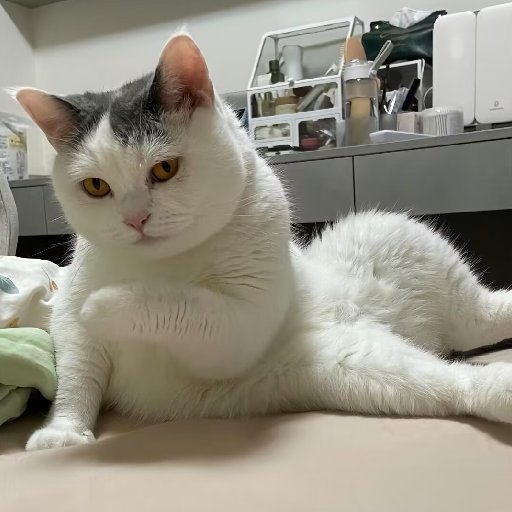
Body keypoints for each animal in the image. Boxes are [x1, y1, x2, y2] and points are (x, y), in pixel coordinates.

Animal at [14, 33, 512, 451]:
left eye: (164, 169)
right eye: (96, 187)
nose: (135, 218)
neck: (162, 266)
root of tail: (417, 335)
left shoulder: (236, 326)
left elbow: (179, 304)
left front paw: (105, 305)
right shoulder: (74, 335)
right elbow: (77, 376)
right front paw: (62, 433)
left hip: (392, 237)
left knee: (487, 309)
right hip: (363, 368)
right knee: (457, 366)